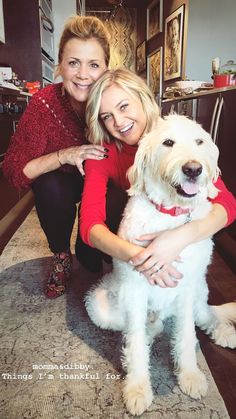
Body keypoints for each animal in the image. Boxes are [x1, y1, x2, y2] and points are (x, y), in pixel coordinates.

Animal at [85, 115, 236, 416]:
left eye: (199, 142)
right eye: (168, 142)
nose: (193, 169)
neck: (170, 215)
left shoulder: (186, 289)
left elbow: (186, 335)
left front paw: (189, 375)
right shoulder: (135, 289)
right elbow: (134, 343)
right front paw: (138, 388)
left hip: (200, 289)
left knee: (205, 315)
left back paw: (223, 331)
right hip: (99, 305)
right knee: (142, 329)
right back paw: (149, 332)